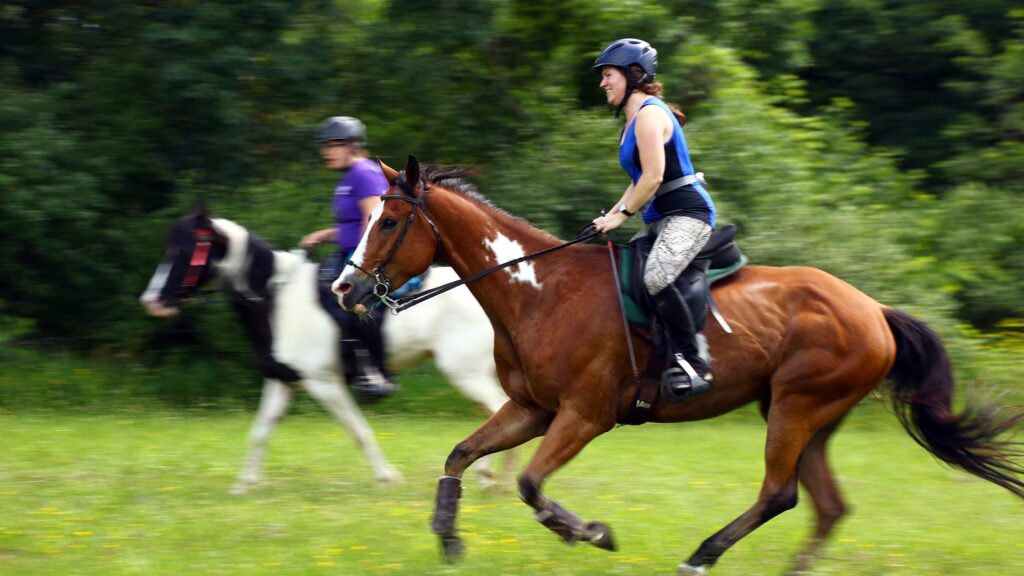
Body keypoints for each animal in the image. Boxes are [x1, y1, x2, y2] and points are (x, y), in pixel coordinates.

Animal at [142, 207, 509, 494]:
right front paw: (245, 484)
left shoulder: (324, 383)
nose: (152, 300)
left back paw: (491, 477)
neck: (278, 303)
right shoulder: (282, 381)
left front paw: (387, 477)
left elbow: (358, 430)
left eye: (189, 248)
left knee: (497, 410)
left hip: (466, 372)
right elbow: (260, 431)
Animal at [331, 154, 1019, 569]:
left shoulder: (583, 416)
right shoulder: (531, 409)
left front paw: (592, 533)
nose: (344, 289)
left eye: (388, 221)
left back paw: (701, 556)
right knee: (825, 507)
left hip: (797, 408)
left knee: (779, 493)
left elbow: (530, 485)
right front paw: (449, 537)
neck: (538, 290)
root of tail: (874, 309)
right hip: (810, 416)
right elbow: (460, 456)